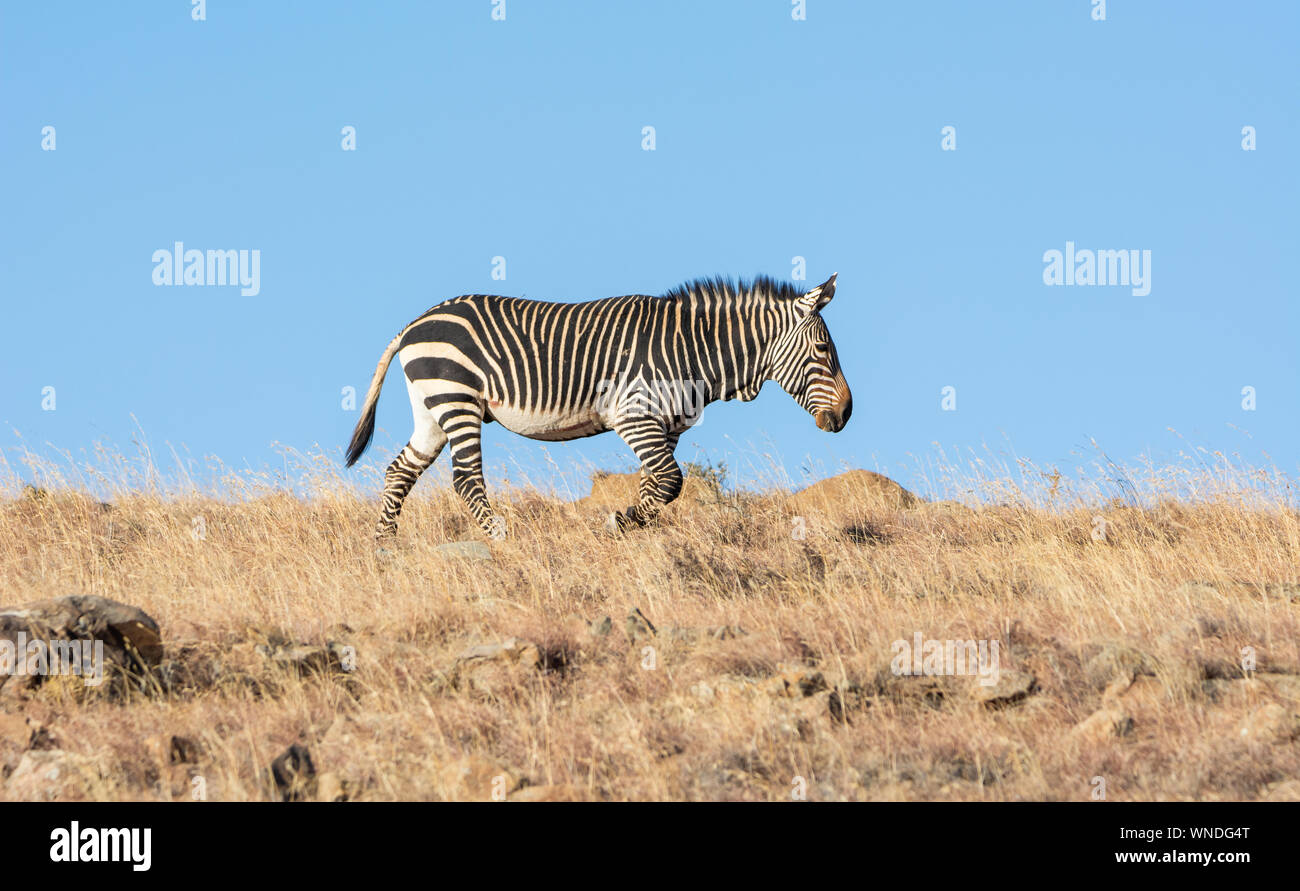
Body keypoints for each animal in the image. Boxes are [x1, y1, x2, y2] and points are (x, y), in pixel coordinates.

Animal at [343, 270, 852, 538]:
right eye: (824, 350)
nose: (846, 415)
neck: (692, 348)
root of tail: (414, 324)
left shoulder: (664, 428)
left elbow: (657, 485)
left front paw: (636, 527)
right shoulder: (634, 416)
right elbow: (671, 482)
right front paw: (622, 521)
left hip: (432, 410)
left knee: (399, 471)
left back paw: (384, 546)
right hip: (458, 399)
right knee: (466, 479)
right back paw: (503, 539)